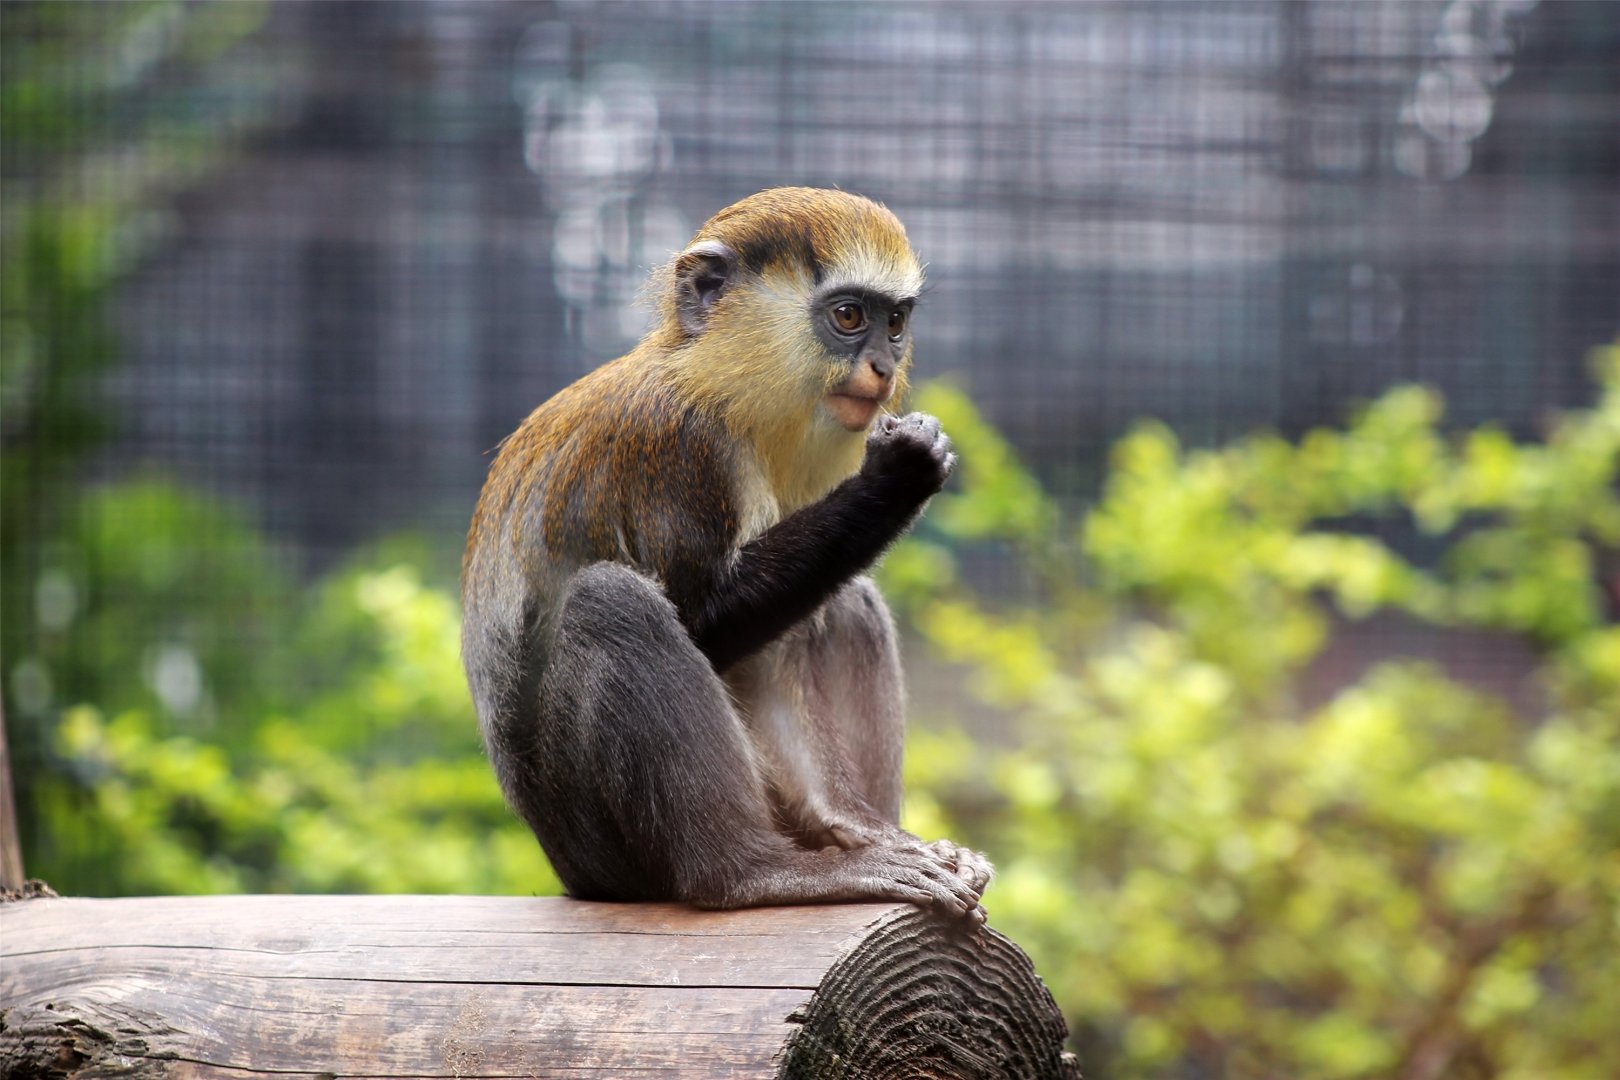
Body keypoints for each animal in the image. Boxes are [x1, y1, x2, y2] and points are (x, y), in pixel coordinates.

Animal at [462, 187, 993, 922]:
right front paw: (897, 476)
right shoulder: (681, 444)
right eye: (849, 316)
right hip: (599, 848)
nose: (882, 368)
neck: (715, 381)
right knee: (610, 602)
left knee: (845, 599)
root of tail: (568, 869)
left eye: (895, 323)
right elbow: (707, 621)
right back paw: (752, 873)